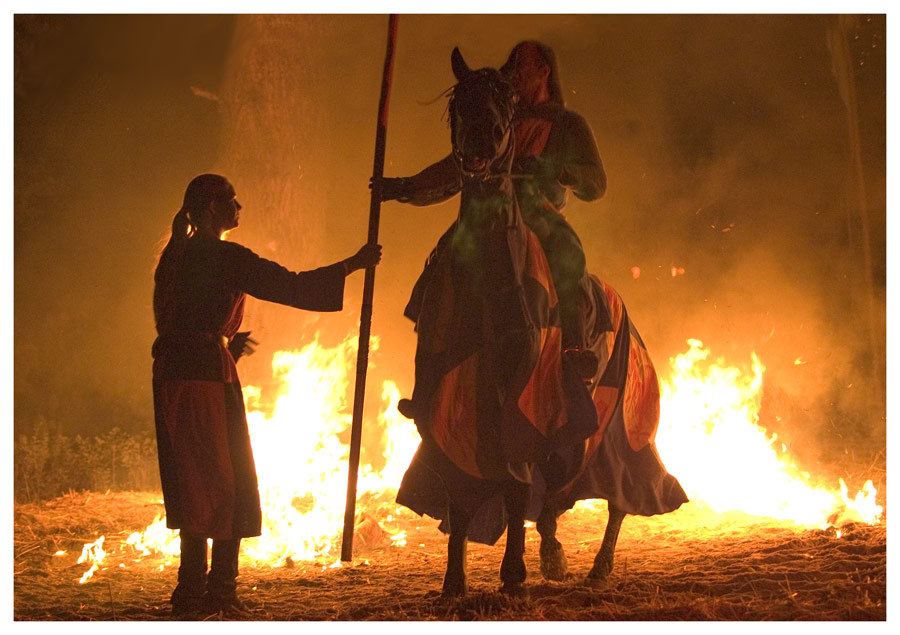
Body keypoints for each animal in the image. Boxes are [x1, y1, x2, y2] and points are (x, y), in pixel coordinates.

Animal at [398, 47, 684, 600]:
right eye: (458, 102)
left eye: (507, 100)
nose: (482, 142)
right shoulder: (448, 398)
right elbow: (461, 490)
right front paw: (453, 581)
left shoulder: (523, 397)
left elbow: (514, 486)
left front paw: (512, 576)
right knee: (554, 492)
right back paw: (553, 553)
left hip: (616, 423)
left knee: (619, 492)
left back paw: (599, 565)